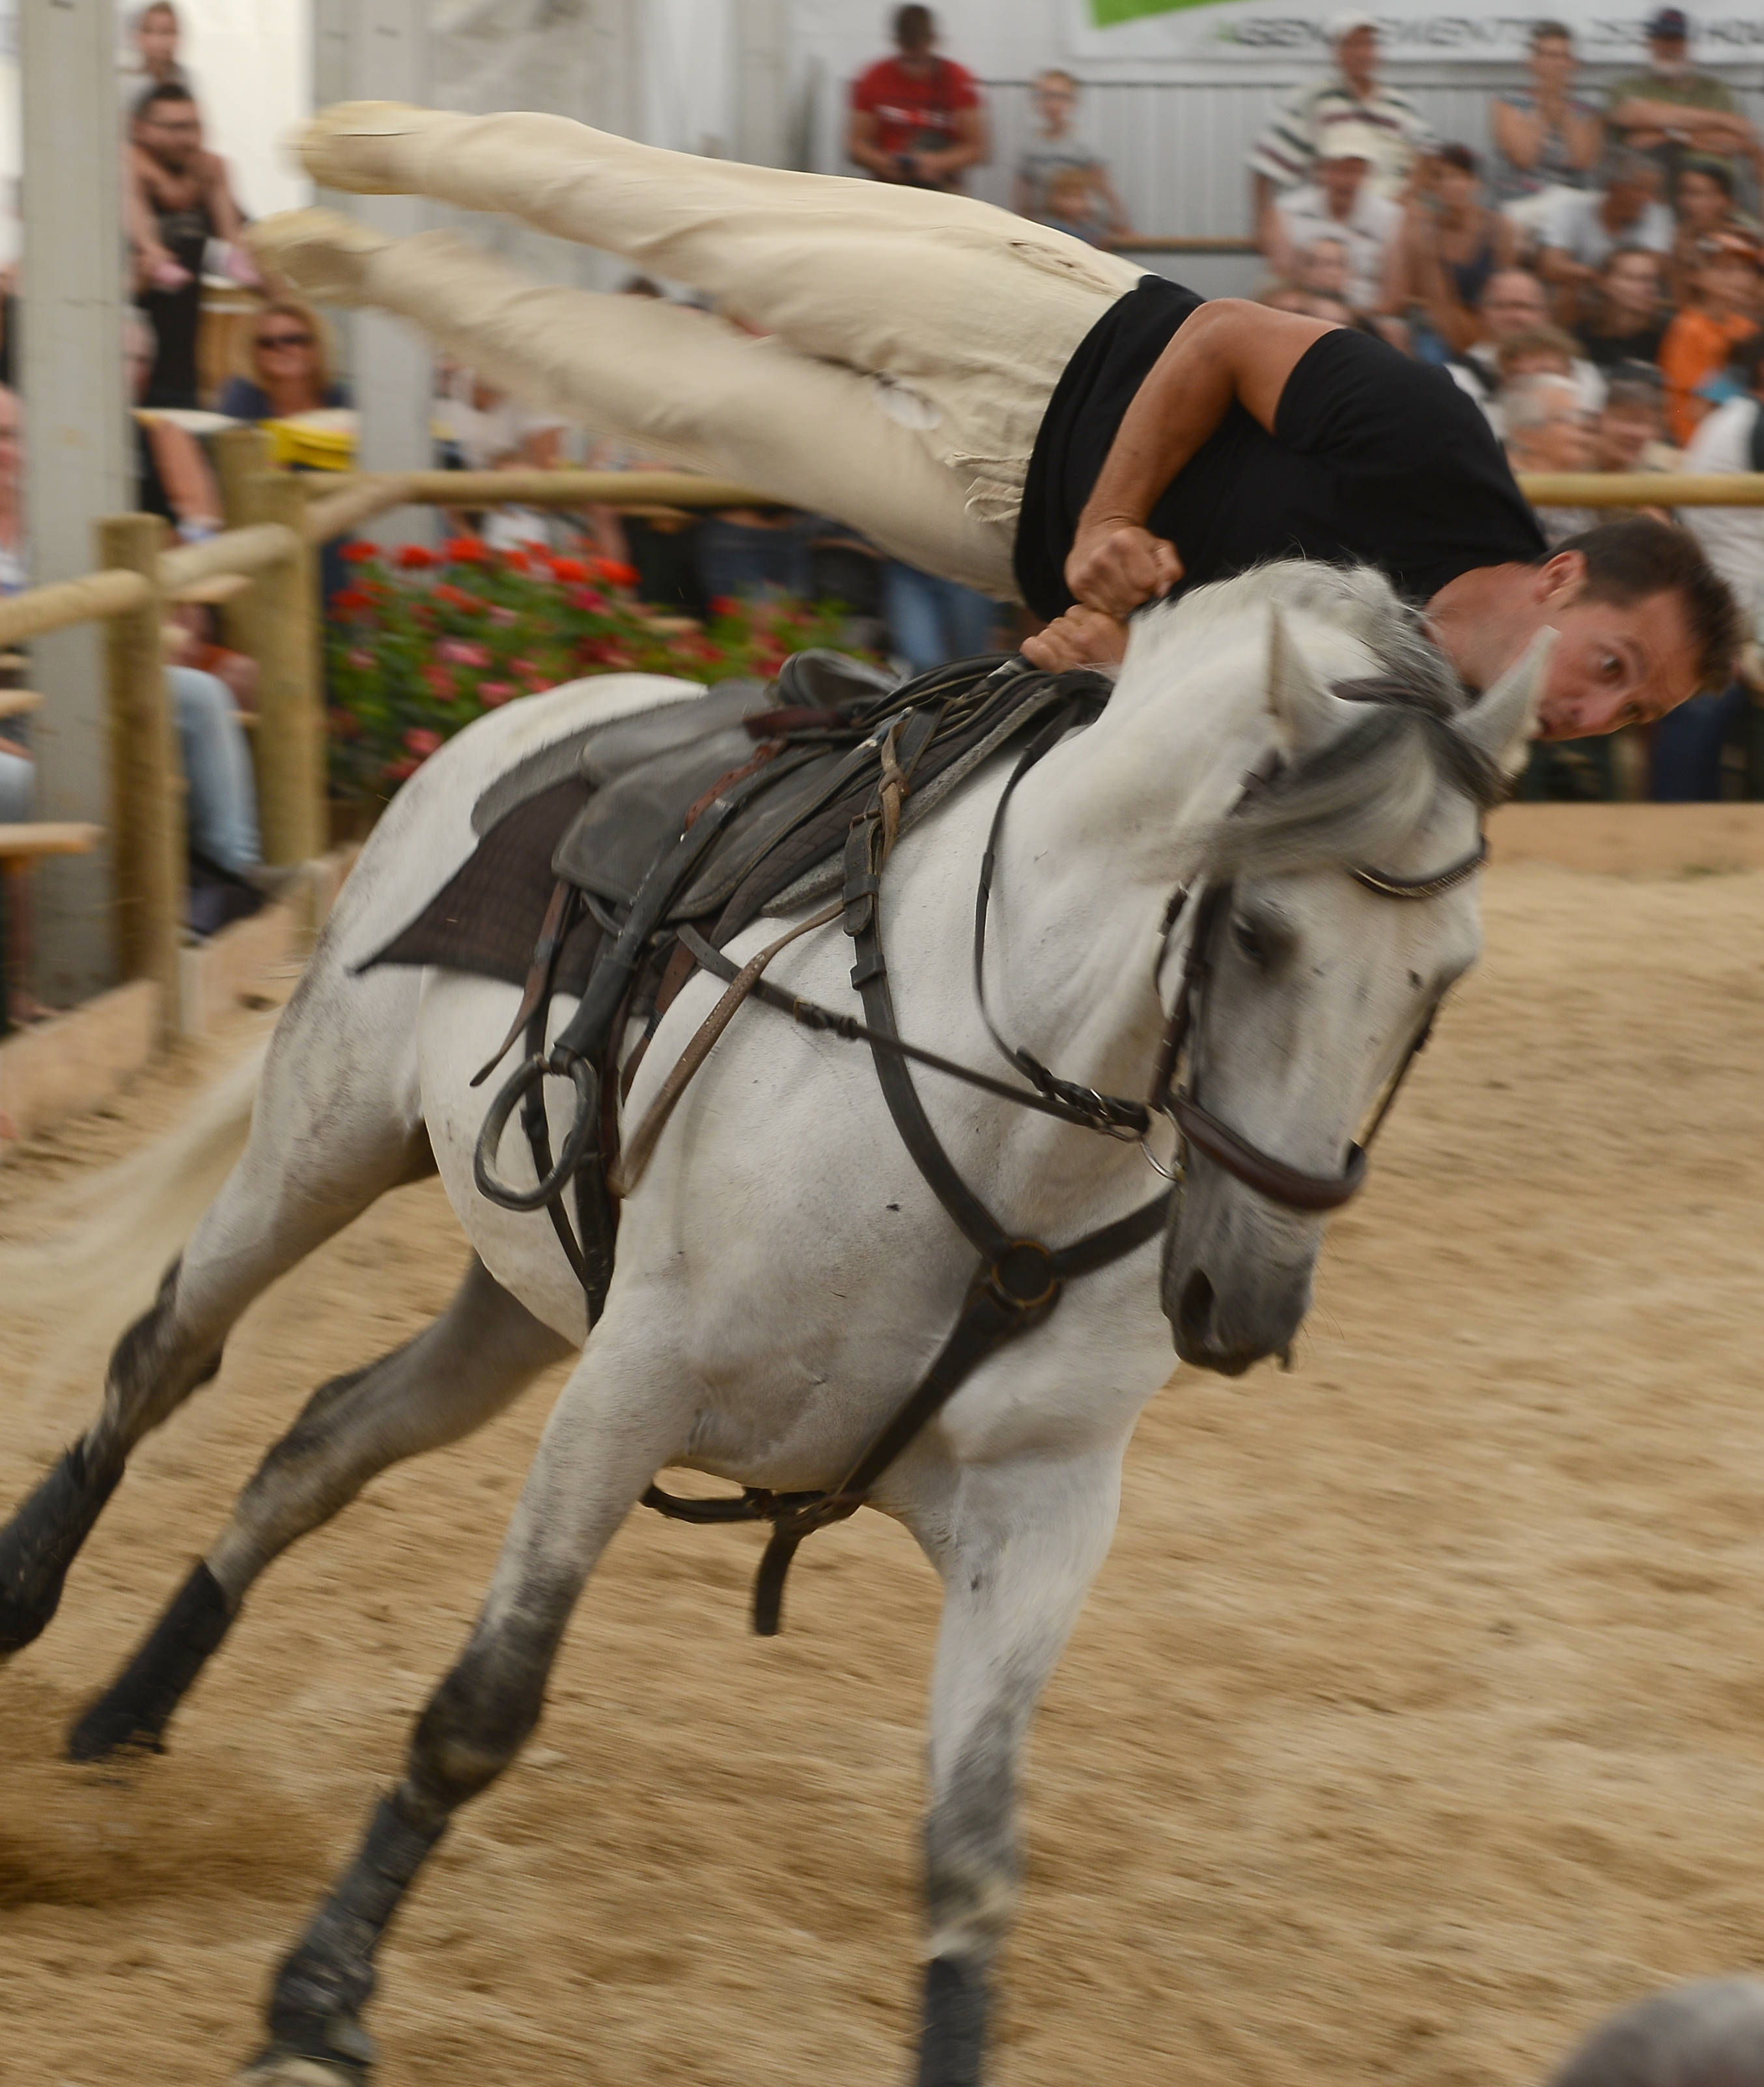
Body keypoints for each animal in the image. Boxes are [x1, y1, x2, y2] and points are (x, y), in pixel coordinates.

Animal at [0, 559, 1545, 2087]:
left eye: (1444, 974)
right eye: (1258, 930)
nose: (1248, 1298)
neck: (1006, 1126)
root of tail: (547, 706)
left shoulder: (1041, 1511)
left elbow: (968, 1857)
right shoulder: (628, 1392)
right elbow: (479, 1715)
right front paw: (315, 2004)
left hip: (517, 1307)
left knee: (322, 1439)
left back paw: (133, 1706)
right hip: (320, 1151)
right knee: (165, 1354)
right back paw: (32, 1598)